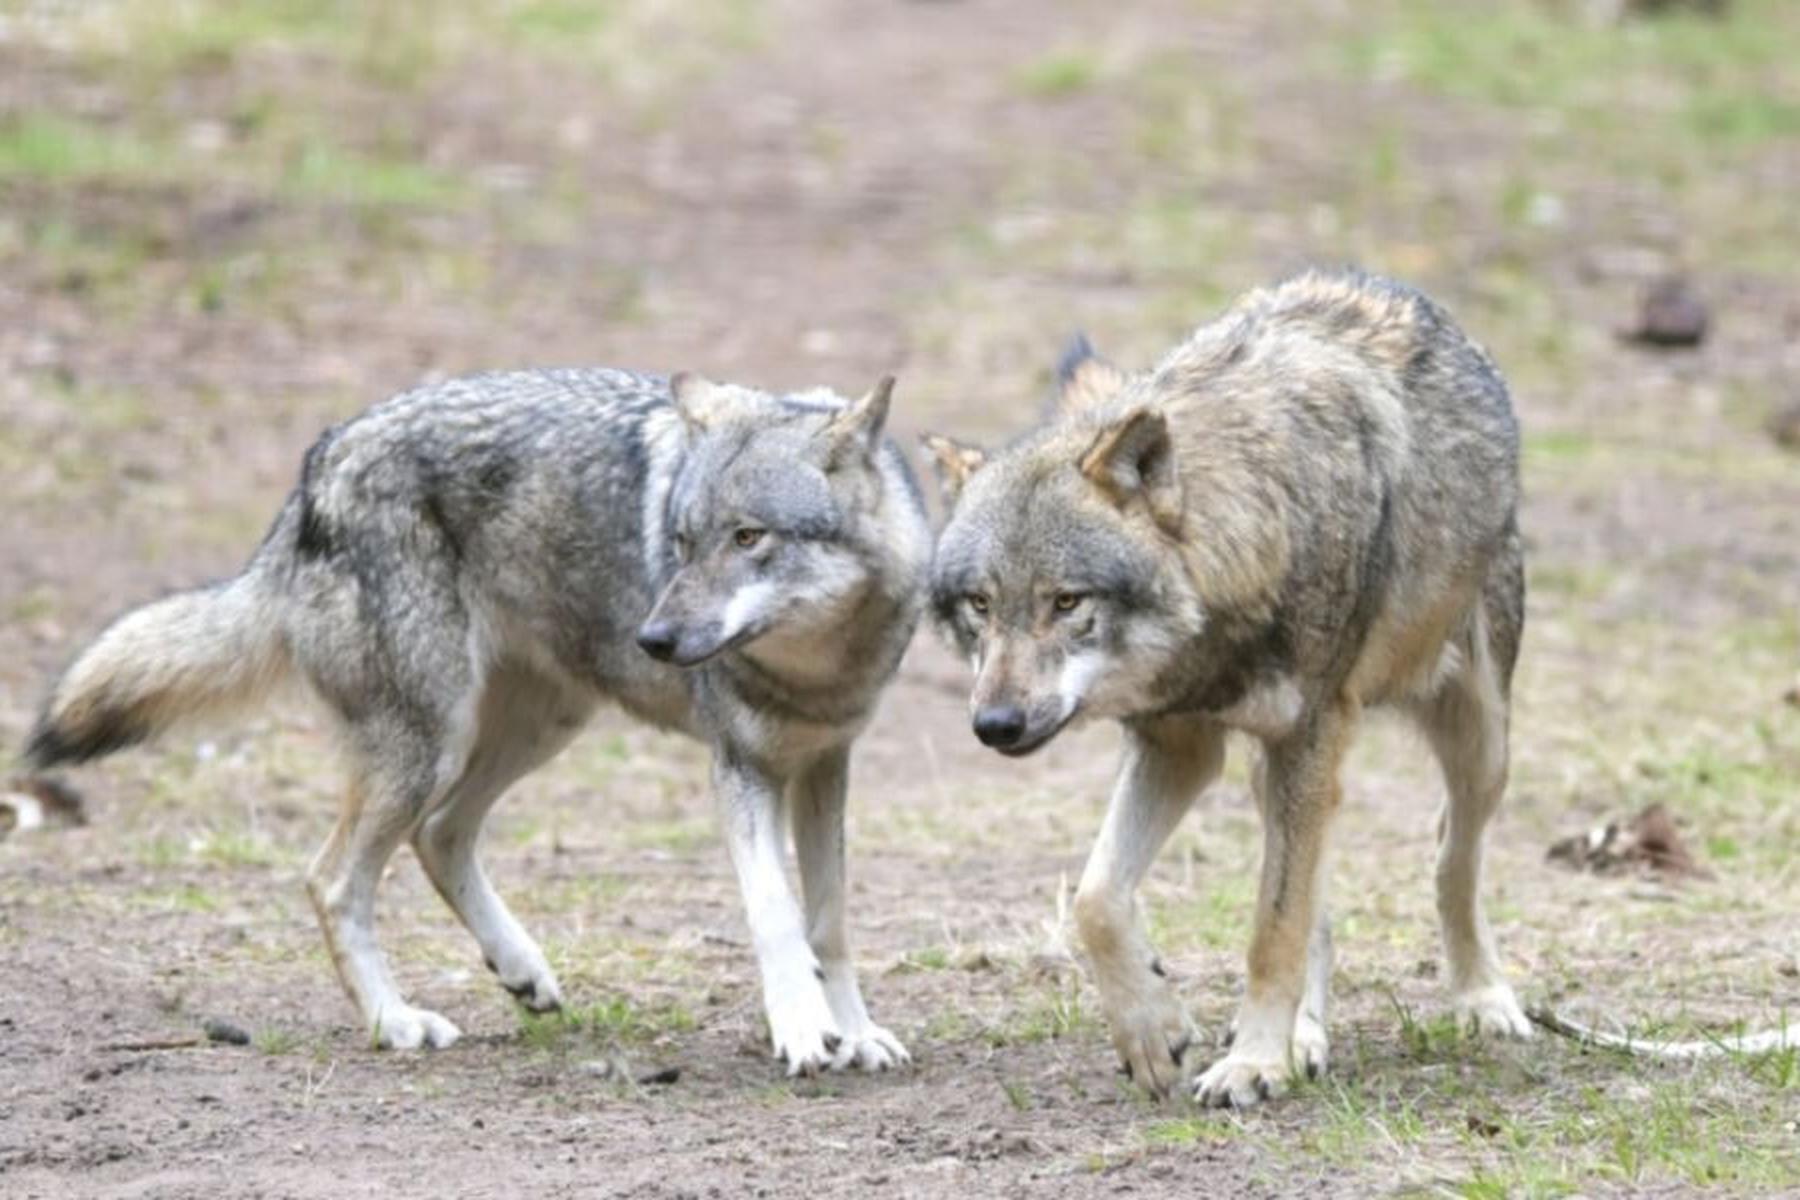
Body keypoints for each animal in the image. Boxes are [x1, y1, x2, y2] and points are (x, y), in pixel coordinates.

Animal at [24, 366, 930, 1074]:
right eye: (679, 541)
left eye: (748, 538)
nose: (655, 639)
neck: (817, 668)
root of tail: (319, 464)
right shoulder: (740, 770)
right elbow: (777, 915)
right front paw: (803, 1031)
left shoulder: (825, 766)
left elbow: (829, 923)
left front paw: (855, 1033)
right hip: (430, 745)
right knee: (332, 877)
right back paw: (395, 1023)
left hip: (535, 728)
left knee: (440, 835)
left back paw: (518, 969)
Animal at [923, 270, 1531, 1106]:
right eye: (981, 605)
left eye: (1067, 601)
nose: (996, 725)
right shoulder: (1178, 745)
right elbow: (1097, 899)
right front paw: (1155, 1032)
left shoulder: (1308, 734)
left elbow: (1273, 929)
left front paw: (1252, 1062)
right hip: (1275, 770)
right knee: (1322, 902)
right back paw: (1307, 1035)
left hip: (1478, 741)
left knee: (1450, 856)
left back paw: (1482, 998)